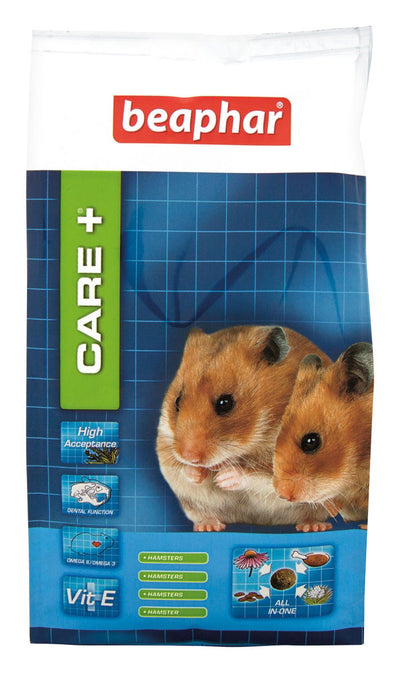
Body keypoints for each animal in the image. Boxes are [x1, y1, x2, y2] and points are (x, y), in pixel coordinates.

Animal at [156, 324, 332, 531]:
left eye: (225, 403)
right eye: (177, 401)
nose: (189, 456)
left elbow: (260, 474)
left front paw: (223, 478)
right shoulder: (165, 443)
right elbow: (177, 469)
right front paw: (198, 473)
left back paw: (312, 526)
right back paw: (208, 526)